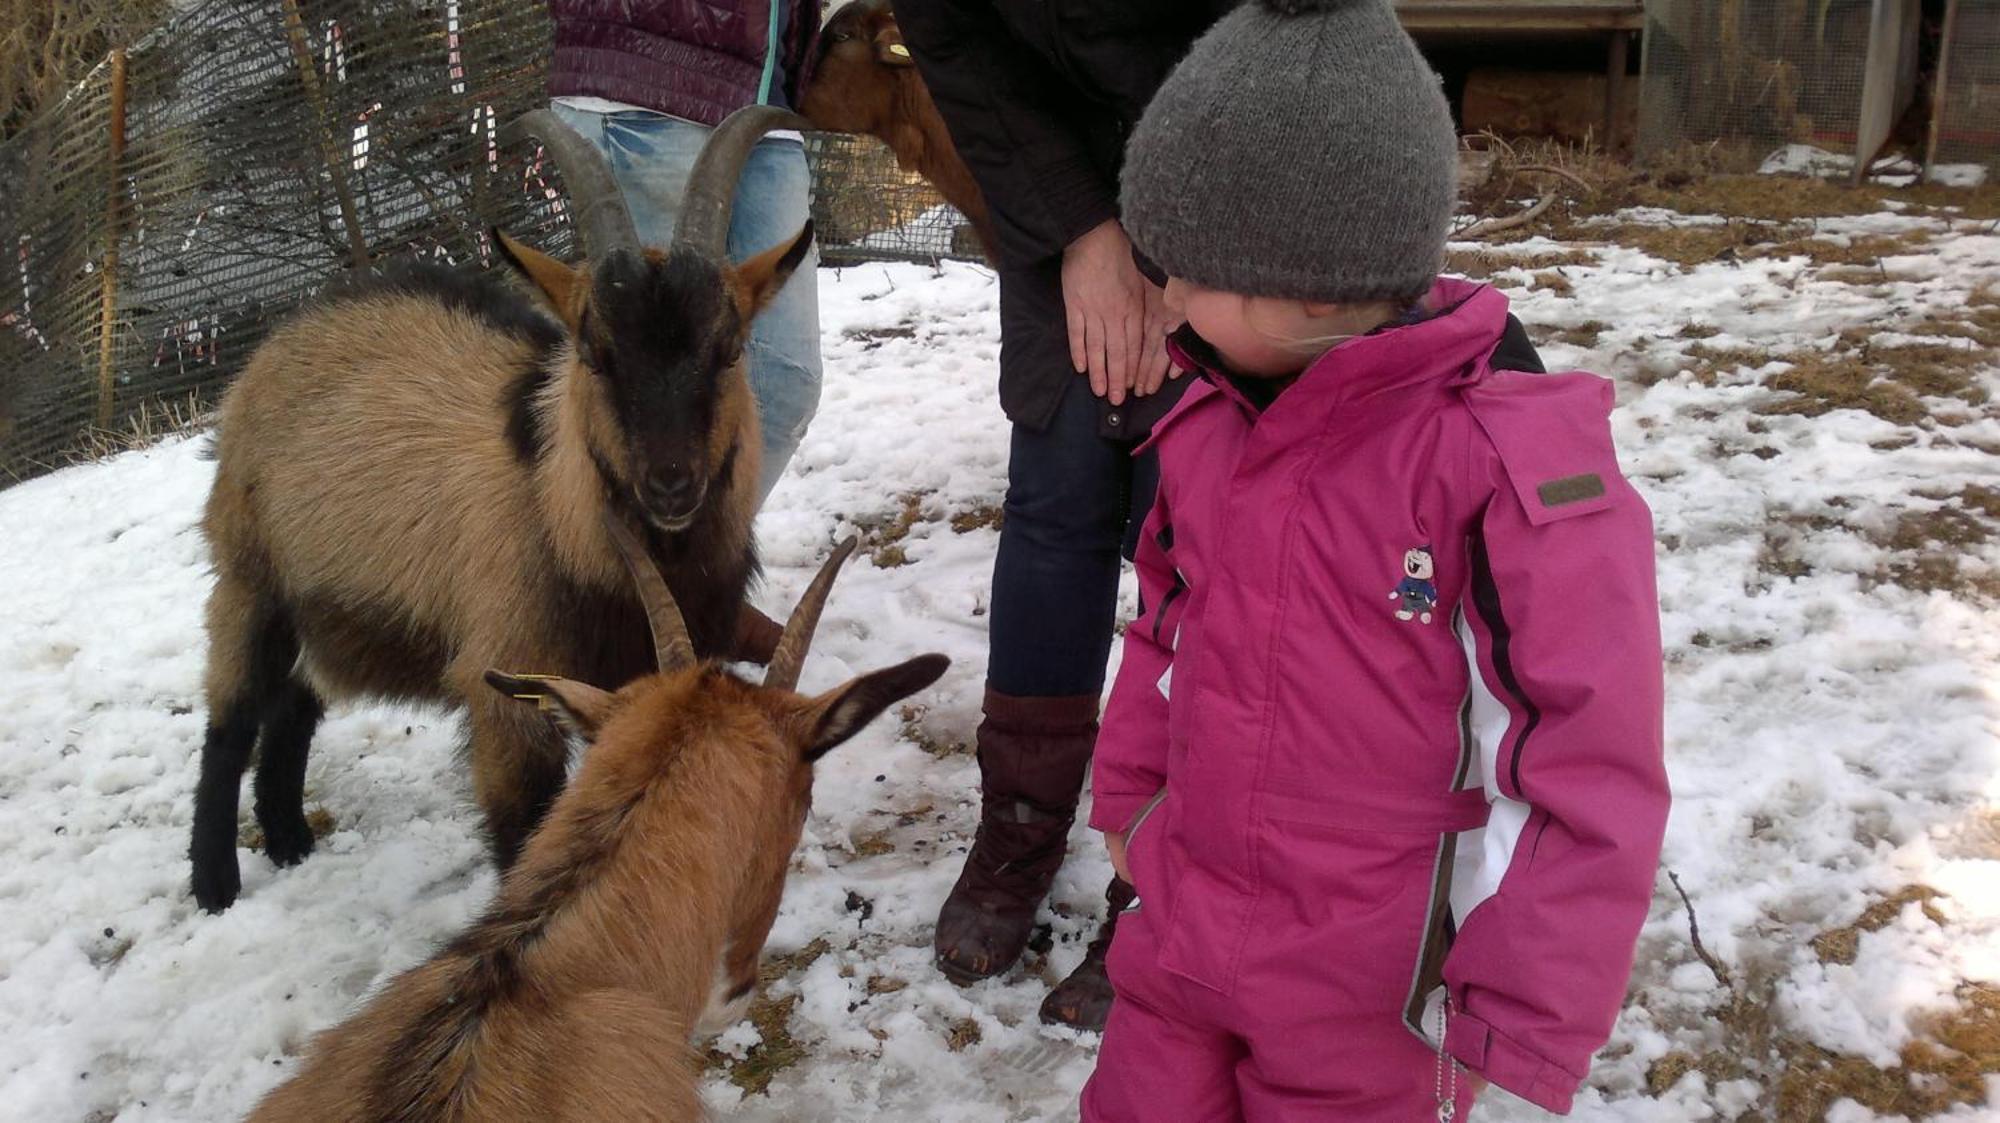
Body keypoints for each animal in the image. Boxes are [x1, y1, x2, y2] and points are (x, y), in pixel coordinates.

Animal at [199, 104, 824, 911]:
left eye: (729, 349)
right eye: (594, 354)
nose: (670, 483)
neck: (558, 513)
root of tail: (277, 341)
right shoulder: (505, 692)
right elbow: (524, 834)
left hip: (326, 604)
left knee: (295, 705)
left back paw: (289, 840)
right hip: (250, 578)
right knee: (231, 720)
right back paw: (215, 883)